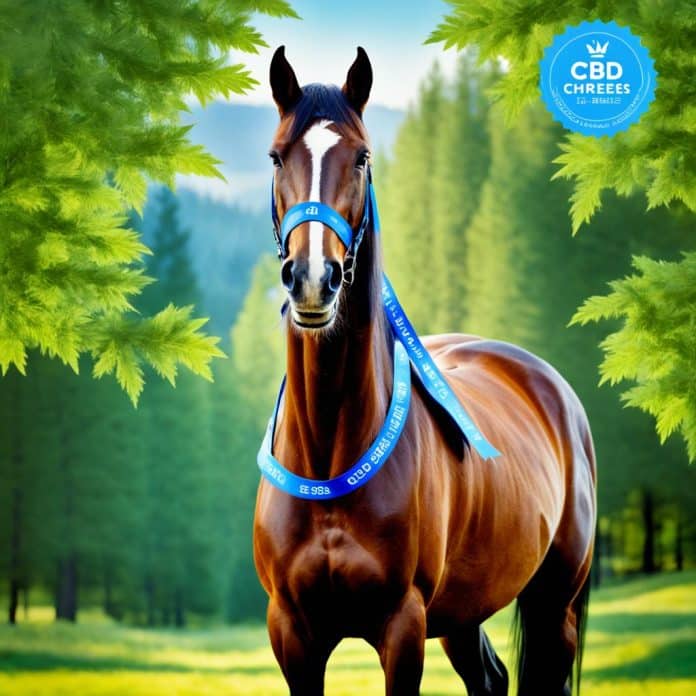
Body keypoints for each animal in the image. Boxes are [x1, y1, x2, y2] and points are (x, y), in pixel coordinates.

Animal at [253, 46, 596, 696]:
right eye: (277, 155)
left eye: (362, 157)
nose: (313, 278)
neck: (329, 455)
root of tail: (555, 389)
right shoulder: (293, 634)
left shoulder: (403, 626)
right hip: (464, 611)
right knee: (489, 677)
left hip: (553, 608)